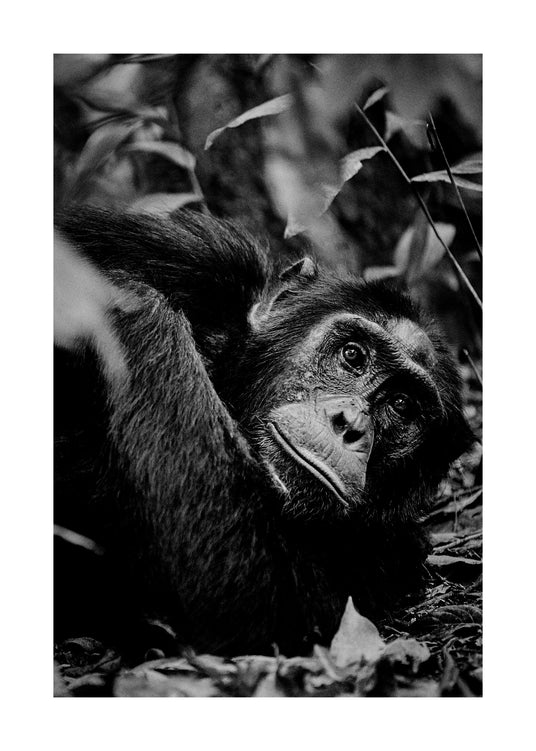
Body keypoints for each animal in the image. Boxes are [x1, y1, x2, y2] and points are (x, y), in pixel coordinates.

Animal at [54, 207, 472, 656]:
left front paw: (123, 296)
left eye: (401, 405)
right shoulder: (193, 255)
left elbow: (253, 597)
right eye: (353, 355)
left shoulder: (388, 558)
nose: (349, 423)